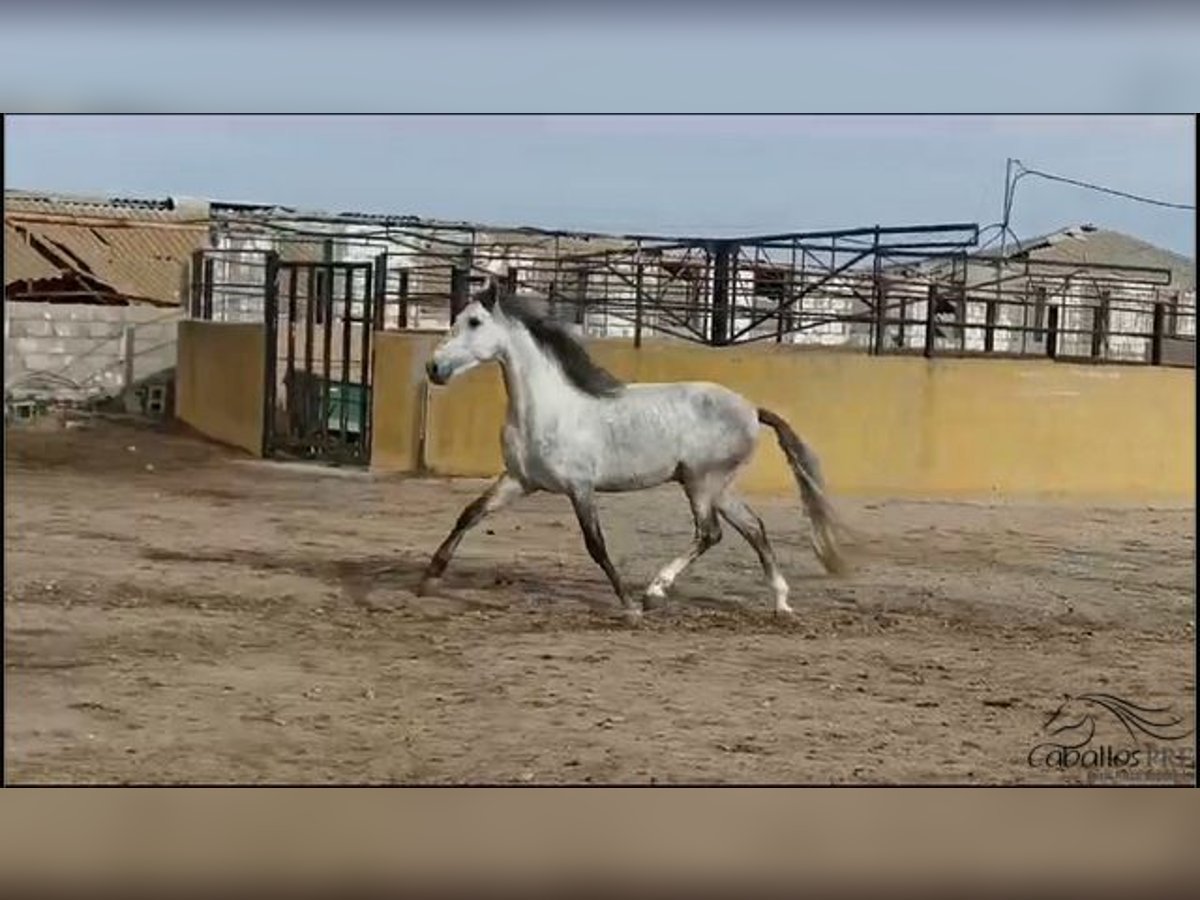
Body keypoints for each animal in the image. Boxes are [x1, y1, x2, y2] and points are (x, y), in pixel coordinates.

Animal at [420, 283, 844, 628]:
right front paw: (430, 576)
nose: (433, 367)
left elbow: (596, 545)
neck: (549, 409)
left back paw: (655, 593)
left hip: (701, 482)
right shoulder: (520, 480)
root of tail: (753, 409)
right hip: (718, 487)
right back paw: (781, 604)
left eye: (474, 322)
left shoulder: (580, 487)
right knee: (753, 527)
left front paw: (629, 607)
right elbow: (470, 514)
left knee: (710, 532)